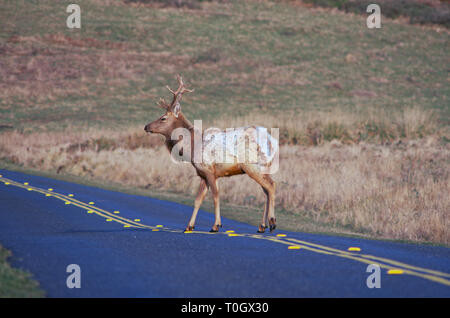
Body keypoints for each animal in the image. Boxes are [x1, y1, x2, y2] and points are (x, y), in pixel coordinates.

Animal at [144, 75, 278, 232]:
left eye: (163, 118)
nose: (146, 126)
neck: (192, 148)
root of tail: (272, 141)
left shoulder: (209, 170)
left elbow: (215, 196)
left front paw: (216, 225)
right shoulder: (202, 174)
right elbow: (198, 200)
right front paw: (189, 226)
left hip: (253, 165)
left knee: (271, 186)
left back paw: (272, 222)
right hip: (263, 166)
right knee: (266, 190)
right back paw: (262, 226)